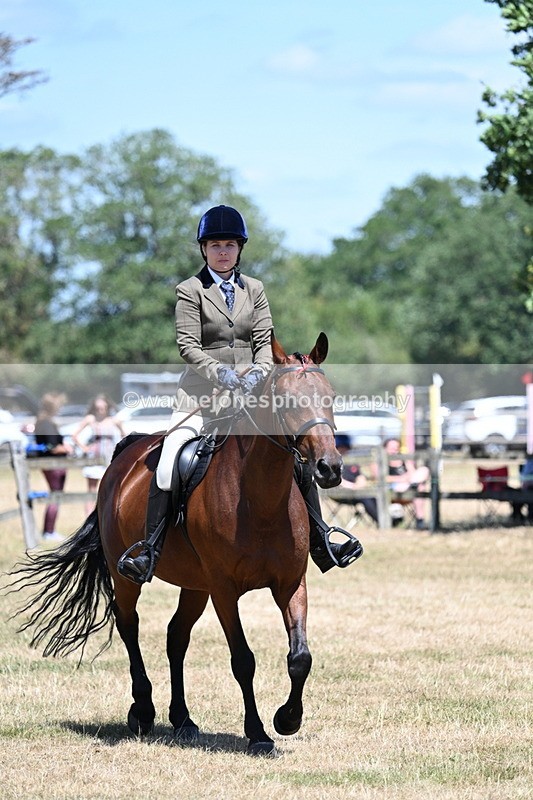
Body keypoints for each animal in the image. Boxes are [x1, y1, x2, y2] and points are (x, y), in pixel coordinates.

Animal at [8, 332, 345, 756]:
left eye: (330, 396)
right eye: (286, 400)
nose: (329, 468)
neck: (259, 497)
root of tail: (126, 451)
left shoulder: (290, 584)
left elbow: (300, 657)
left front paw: (287, 719)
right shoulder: (223, 590)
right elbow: (243, 660)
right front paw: (257, 733)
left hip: (194, 584)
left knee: (175, 637)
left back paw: (183, 720)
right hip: (129, 576)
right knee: (129, 624)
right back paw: (143, 711)